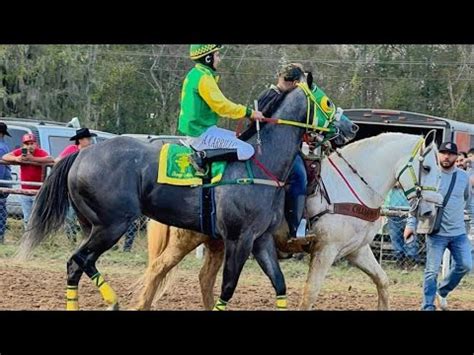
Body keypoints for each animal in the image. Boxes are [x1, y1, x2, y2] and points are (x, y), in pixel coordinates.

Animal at [133, 132, 440, 310]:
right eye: (426, 167)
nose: (429, 211)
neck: (352, 185)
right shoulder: (325, 251)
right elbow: (310, 294)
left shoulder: (357, 251)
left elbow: (383, 283)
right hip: (187, 238)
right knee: (157, 269)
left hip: (219, 243)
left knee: (205, 279)